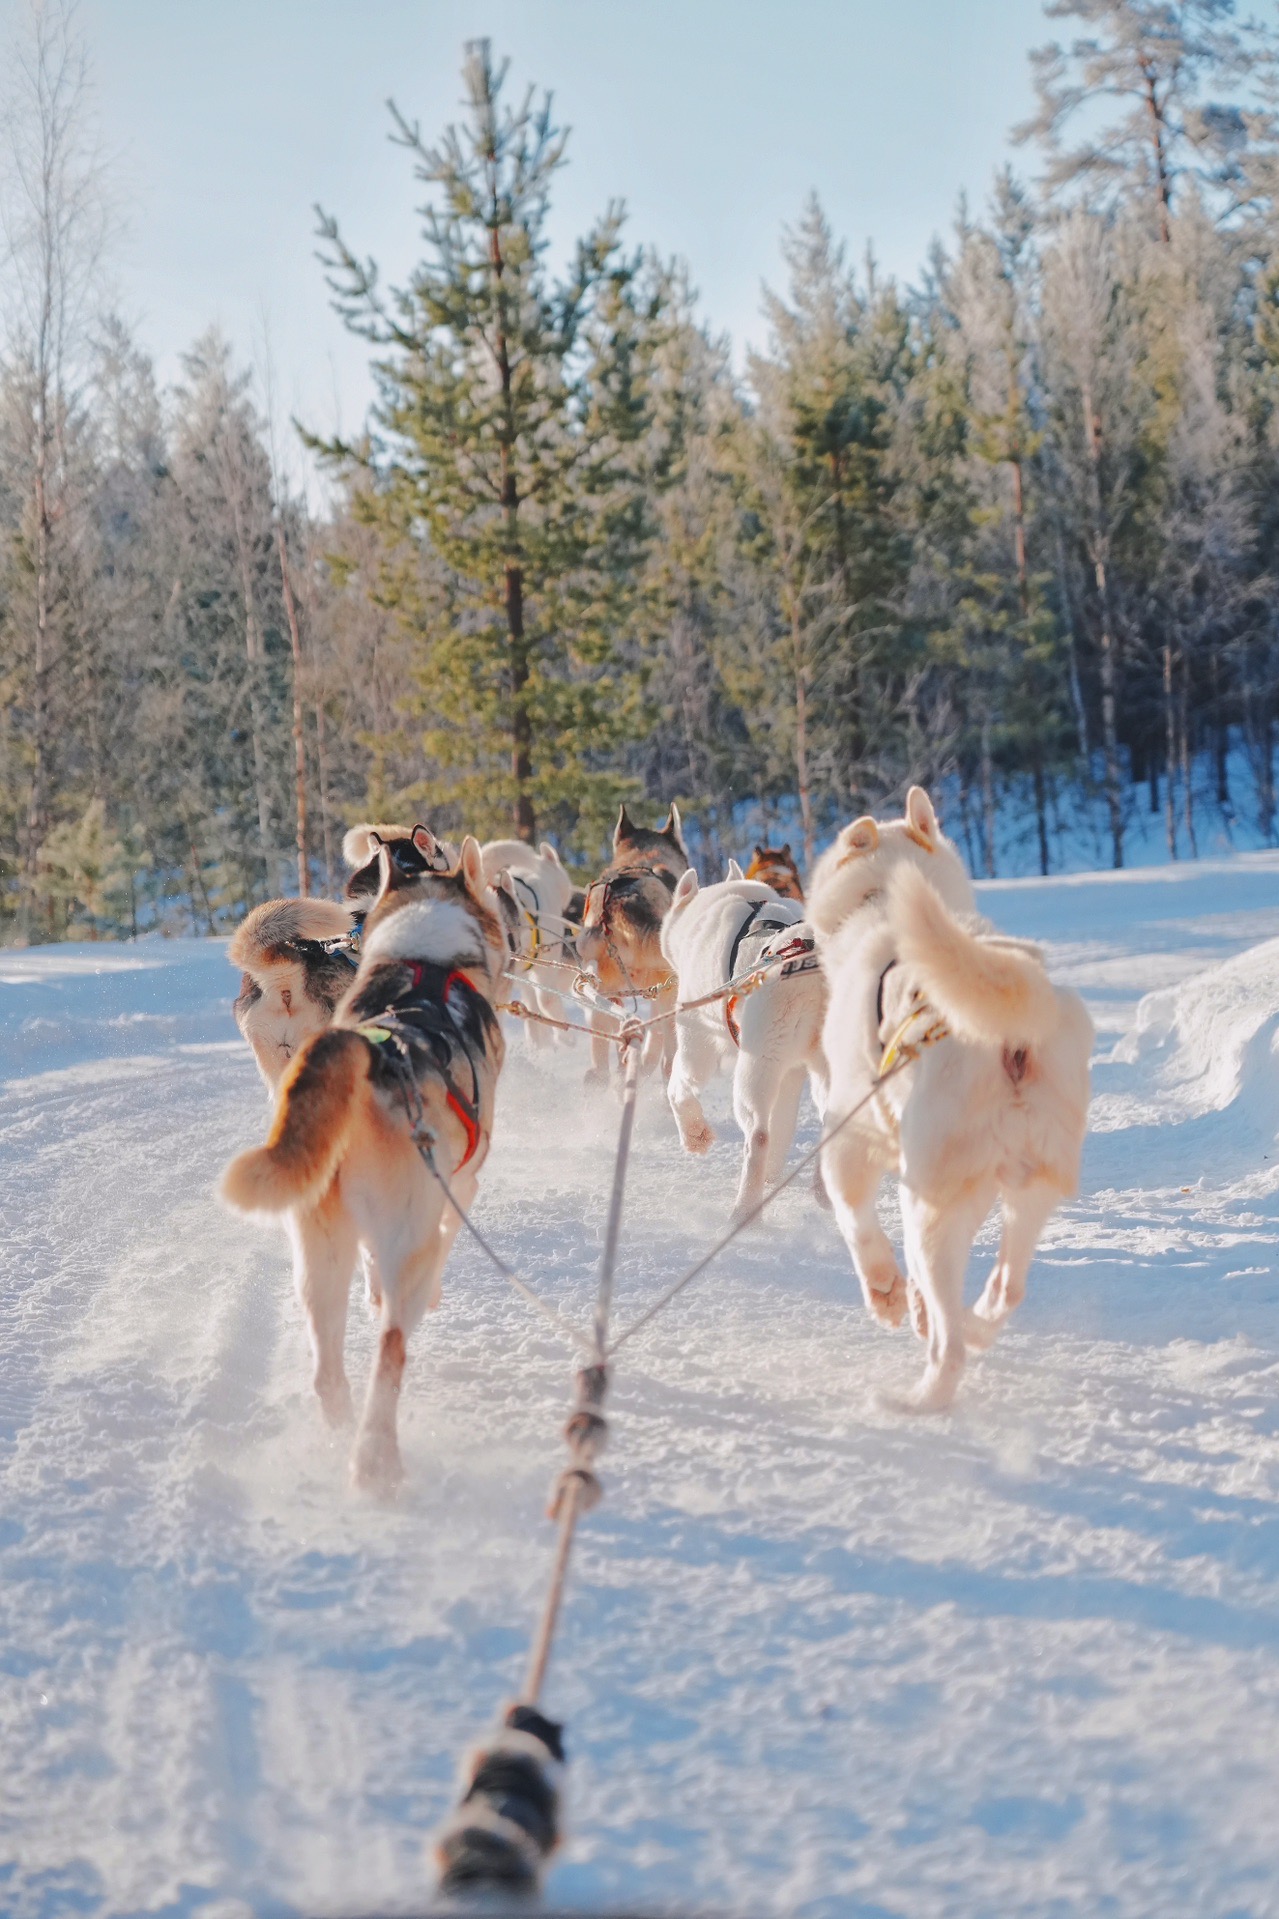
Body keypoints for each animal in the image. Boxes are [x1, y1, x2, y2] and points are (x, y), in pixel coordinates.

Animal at [218, 832, 503, 1489]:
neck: (426, 967)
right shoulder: (461, 1189)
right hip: (407, 1249)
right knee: (390, 1352)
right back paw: (376, 1464)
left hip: (318, 1248)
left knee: (327, 1363)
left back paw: (340, 1428)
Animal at [656, 867, 825, 1220]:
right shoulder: (792, 1073)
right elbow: (783, 1125)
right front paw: (773, 1176)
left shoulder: (697, 1041)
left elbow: (680, 1086)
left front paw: (695, 1135)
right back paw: (823, 1190)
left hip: (755, 1068)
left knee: (758, 1135)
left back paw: (745, 1210)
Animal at [806, 786, 1083, 1420]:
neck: (881, 904)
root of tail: (1014, 1030)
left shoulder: (848, 1142)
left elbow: (857, 1223)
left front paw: (884, 1294)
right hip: (1029, 1189)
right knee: (1006, 1288)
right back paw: (969, 1325)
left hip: (928, 1205)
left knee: (947, 1342)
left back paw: (917, 1397)